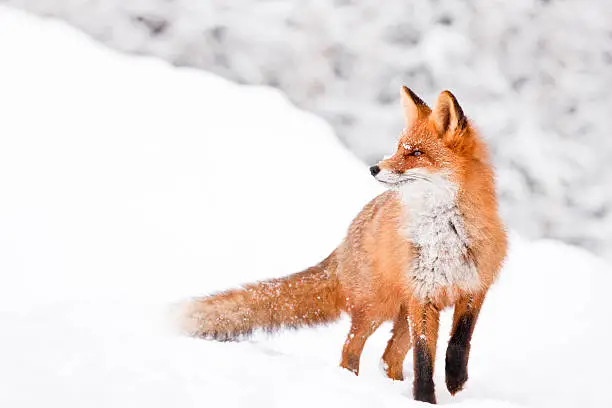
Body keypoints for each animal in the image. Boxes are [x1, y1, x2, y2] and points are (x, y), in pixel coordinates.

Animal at [180, 87, 506, 404]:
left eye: (416, 153)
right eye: (399, 147)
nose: (374, 168)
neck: (445, 237)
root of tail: (343, 243)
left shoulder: (474, 288)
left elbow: (459, 342)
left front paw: (455, 381)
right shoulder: (422, 297)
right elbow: (424, 359)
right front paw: (426, 400)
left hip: (398, 313)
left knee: (389, 358)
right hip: (376, 309)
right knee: (351, 351)